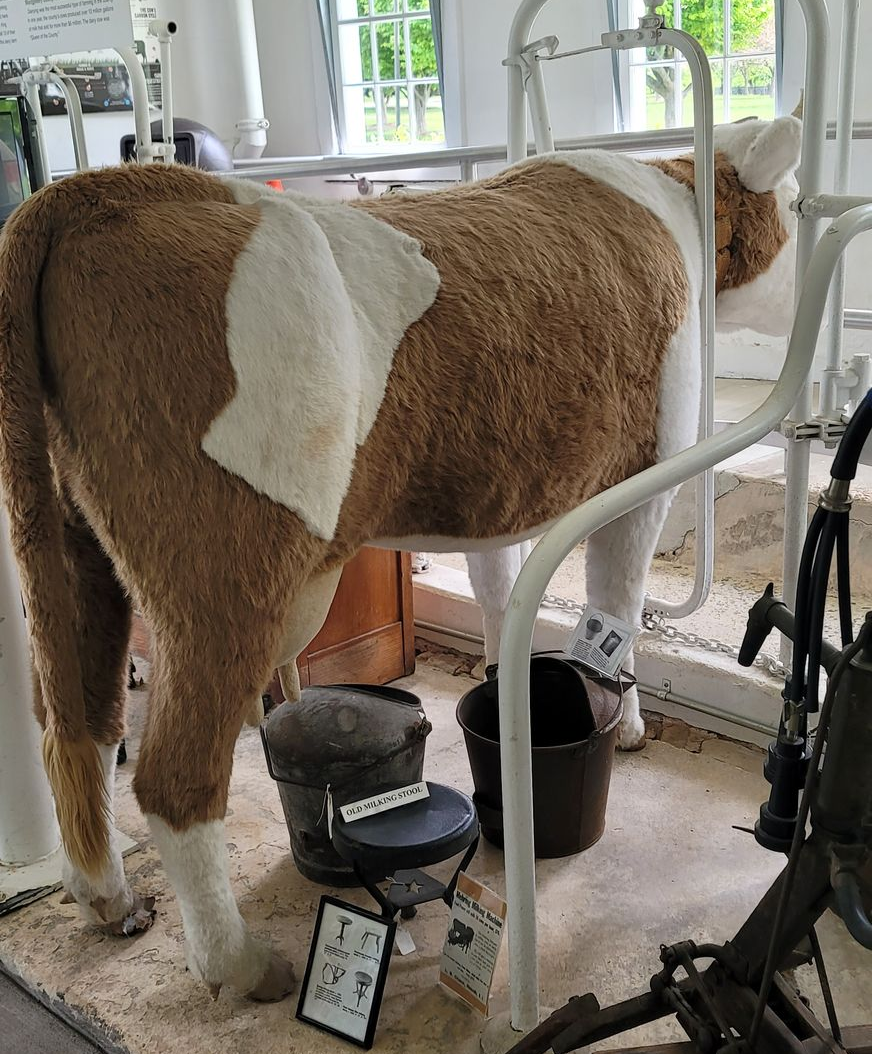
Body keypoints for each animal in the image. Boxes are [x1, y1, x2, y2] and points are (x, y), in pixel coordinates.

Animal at [0, 115, 801, 1003]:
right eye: (797, 204)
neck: (670, 201)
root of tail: (96, 193)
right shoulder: (642, 475)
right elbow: (616, 607)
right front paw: (621, 723)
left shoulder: (506, 492)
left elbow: (500, 594)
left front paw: (507, 684)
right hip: (219, 577)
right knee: (174, 776)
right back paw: (239, 964)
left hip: (67, 544)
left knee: (75, 722)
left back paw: (103, 894)